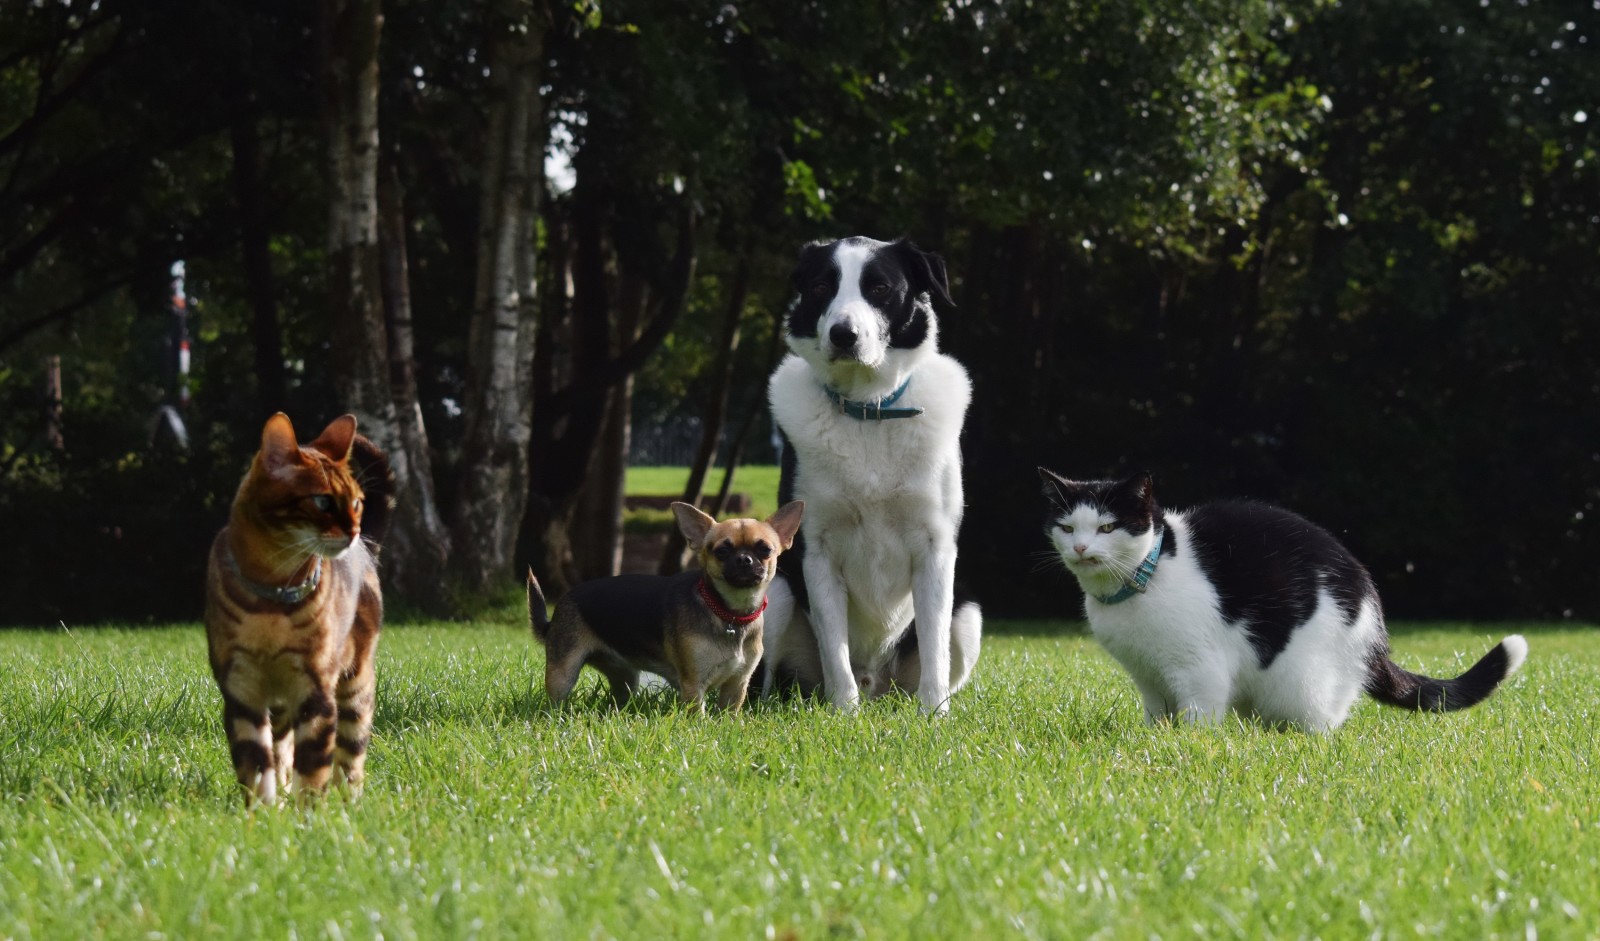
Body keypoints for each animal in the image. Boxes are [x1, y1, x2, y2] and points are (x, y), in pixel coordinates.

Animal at [203, 408, 390, 806]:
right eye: (322, 501)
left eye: (356, 502)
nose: (353, 530)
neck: (272, 600)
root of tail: (368, 548)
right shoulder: (241, 690)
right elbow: (256, 765)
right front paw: (264, 813)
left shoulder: (315, 690)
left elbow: (315, 766)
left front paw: (309, 815)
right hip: (280, 705)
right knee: (282, 747)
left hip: (355, 685)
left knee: (351, 757)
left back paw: (349, 803)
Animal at [524, 502, 800, 710]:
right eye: (721, 551)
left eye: (765, 549)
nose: (744, 559)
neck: (728, 614)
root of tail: (555, 615)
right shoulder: (693, 685)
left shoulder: (736, 685)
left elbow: (729, 716)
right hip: (563, 674)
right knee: (555, 701)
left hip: (625, 677)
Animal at [758, 236, 972, 713]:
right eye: (821, 286)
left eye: (879, 288)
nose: (843, 335)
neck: (868, 411)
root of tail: (877, 683)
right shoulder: (815, 550)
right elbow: (834, 649)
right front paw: (844, 713)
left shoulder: (936, 548)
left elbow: (934, 646)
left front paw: (934, 715)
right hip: (776, 591)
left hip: (968, 615)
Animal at [1036, 467, 1523, 732]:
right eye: (1066, 527)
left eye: (1107, 527)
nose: (1081, 547)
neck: (1144, 577)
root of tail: (1376, 634)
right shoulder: (1148, 678)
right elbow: (1157, 715)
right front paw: (1155, 738)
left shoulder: (1200, 670)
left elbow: (1198, 718)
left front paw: (1188, 745)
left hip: (1300, 680)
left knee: (1322, 721)